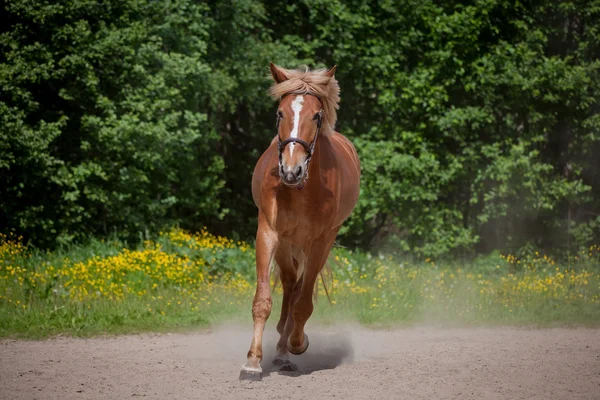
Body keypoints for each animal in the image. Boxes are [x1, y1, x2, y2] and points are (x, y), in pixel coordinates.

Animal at [239, 63, 360, 382]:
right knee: (291, 284)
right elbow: (263, 301)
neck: (300, 189)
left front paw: (298, 342)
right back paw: (280, 350)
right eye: (280, 113)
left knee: (298, 292)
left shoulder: (319, 243)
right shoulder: (268, 233)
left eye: (316, 116)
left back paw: (288, 347)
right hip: (286, 244)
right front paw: (252, 362)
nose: (291, 171)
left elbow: (303, 305)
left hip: (319, 243)